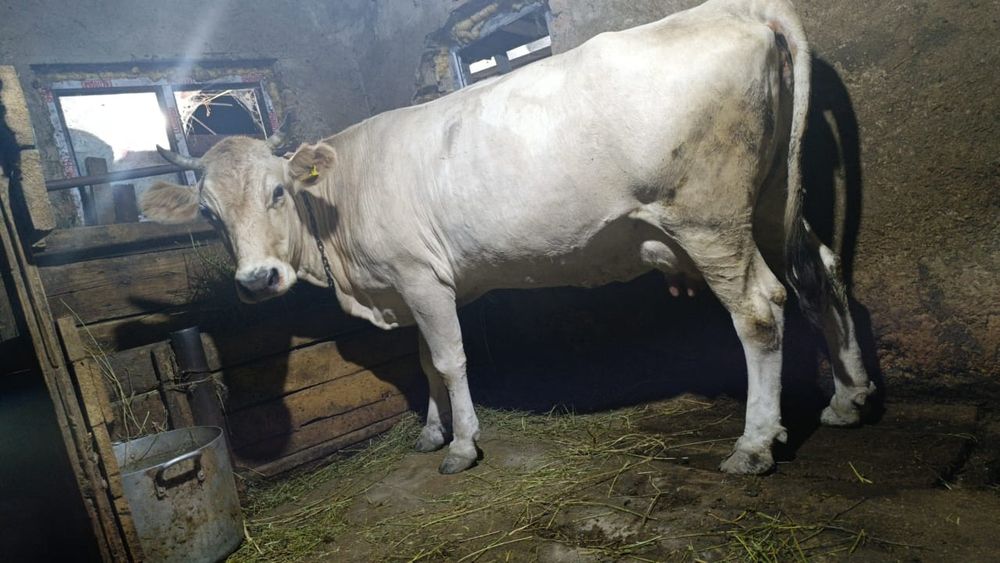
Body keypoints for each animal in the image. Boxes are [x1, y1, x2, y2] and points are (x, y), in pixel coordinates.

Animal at [142, 0, 875, 475]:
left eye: (276, 191)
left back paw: (754, 444)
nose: (256, 280)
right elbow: (423, 363)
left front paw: (463, 445)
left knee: (760, 308)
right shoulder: (412, 285)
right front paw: (431, 432)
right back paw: (848, 397)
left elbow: (449, 361)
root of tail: (741, 10)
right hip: (772, 199)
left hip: (707, 214)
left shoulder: (421, 276)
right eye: (208, 212)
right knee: (820, 273)